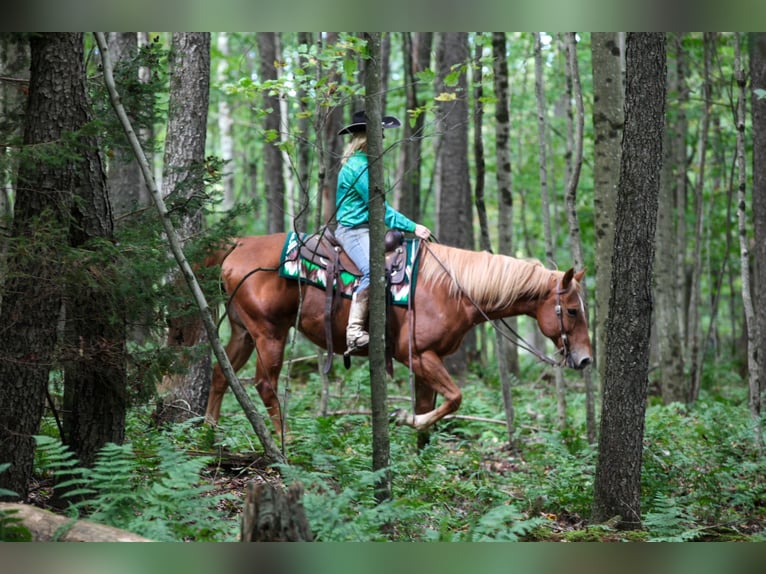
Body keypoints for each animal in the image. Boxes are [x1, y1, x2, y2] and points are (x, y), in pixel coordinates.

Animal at [203, 233, 592, 442]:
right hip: (270, 333)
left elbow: (432, 406)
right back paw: (284, 442)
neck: (452, 289)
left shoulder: (431, 361)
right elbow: (455, 399)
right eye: (573, 310)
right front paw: (404, 419)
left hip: (244, 333)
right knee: (264, 384)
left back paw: (207, 432)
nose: (585, 358)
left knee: (221, 374)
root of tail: (238, 244)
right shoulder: (417, 355)